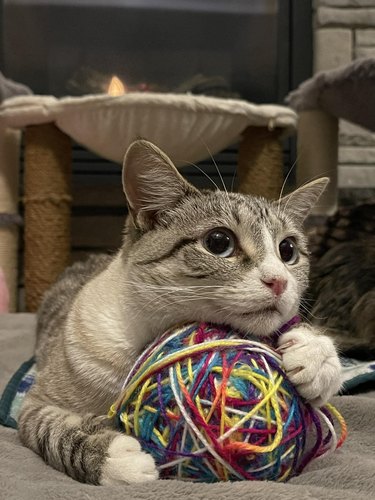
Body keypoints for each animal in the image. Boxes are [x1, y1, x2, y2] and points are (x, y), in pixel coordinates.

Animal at [19, 140, 344, 484]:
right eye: (219, 242)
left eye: (288, 250)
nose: (279, 281)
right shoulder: (33, 404)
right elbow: (55, 432)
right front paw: (115, 458)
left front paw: (316, 355)